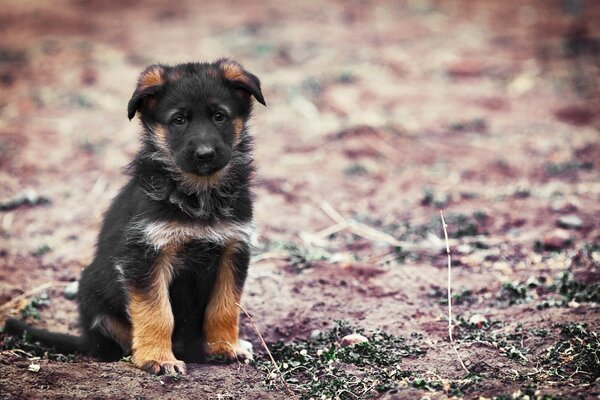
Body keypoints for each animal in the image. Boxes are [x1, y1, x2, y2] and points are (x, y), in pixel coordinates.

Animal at [2, 59, 264, 376]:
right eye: (179, 120)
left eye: (219, 116)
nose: (205, 154)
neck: (198, 194)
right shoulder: (145, 254)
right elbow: (157, 311)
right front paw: (158, 358)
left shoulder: (233, 248)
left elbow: (224, 306)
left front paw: (225, 347)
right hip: (92, 292)